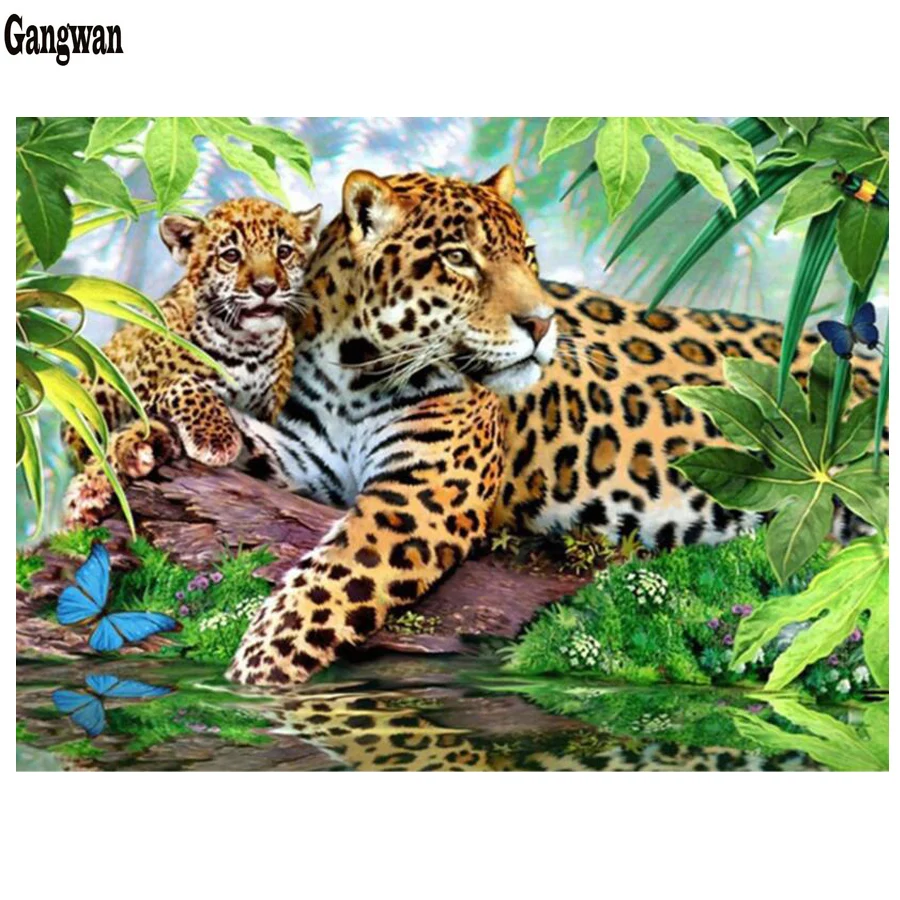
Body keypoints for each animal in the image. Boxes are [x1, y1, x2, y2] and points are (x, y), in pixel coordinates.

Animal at [64, 197, 322, 525]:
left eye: (284, 252)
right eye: (231, 255)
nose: (266, 287)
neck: (247, 344)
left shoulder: (269, 413)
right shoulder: (140, 391)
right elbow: (184, 383)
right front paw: (217, 438)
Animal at [224, 165, 883, 688]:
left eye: (528, 255)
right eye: (458, 259)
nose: (542, 323)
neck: (354, 373)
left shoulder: (424, 496)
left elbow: (330, 581)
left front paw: (254, 670)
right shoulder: (309, 459)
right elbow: (247, 446)